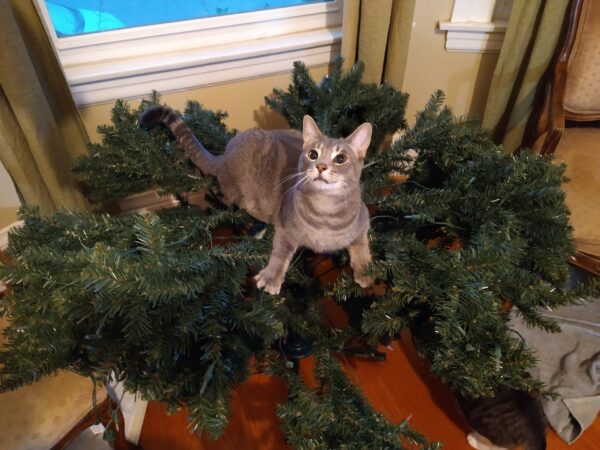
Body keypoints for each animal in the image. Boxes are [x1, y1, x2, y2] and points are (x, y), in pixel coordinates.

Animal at [141, 105, 376, 296]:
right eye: (312, 154)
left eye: (340, 158)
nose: (320, 166)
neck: (325, 211)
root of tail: (224, 156)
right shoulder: (286, 227)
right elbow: (280, 253)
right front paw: (271, 277)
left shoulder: (364, 219)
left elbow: (362, 246)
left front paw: (365, 271)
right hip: (245, 195)